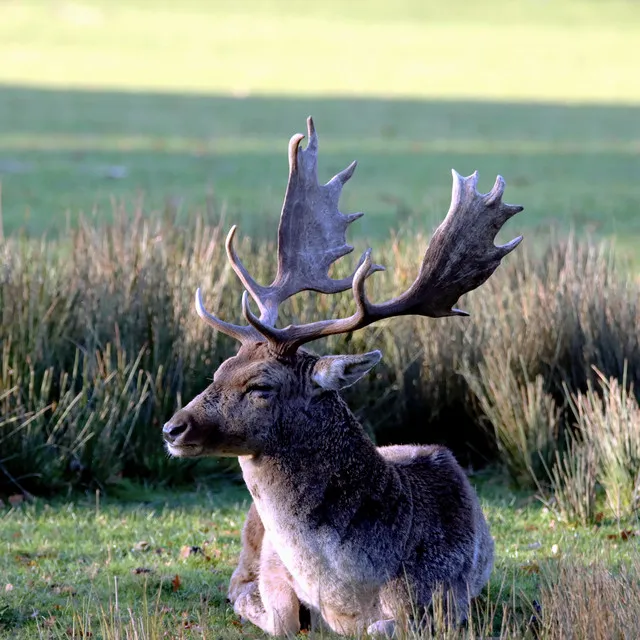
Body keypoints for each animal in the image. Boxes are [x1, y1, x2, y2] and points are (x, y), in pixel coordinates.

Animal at [164, 117, 524, 636]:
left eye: (260, 387)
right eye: (219, 369)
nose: (173, 428)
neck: (346, 595)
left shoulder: (447, 598)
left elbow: (386, 626)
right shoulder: (274, 575)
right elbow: (279, 615)